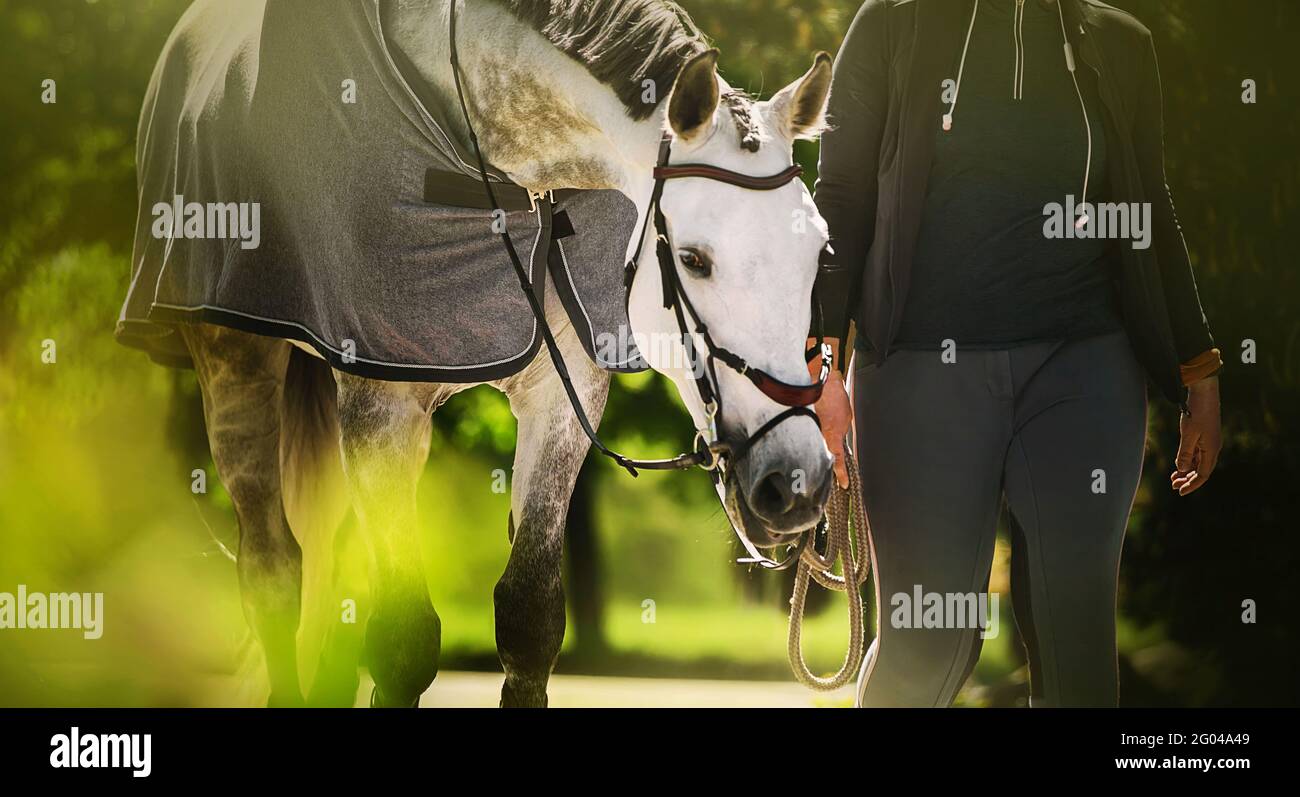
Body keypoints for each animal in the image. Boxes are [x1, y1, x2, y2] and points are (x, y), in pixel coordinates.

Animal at [167, 0, 832, 707]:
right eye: (693, 259)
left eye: (819, 252)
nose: (797, 480)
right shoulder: (380, 403)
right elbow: (402, 641)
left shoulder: (562, 399)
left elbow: (528, 619)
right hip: (236, 369)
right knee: (273, 569)